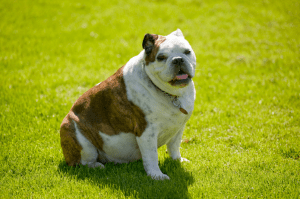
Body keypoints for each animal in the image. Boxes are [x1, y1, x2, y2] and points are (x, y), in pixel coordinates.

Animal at [59, 29, 196, 180]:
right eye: (161, 57)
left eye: (187, 51)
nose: (178, 59)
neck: (171, 94)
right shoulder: (147, 133)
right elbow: (151, 156)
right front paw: (156, 175)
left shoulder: (178, 127)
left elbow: (174, 146)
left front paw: (178, 160)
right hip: (79, 139)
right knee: (82, 162)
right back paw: (96, 166)